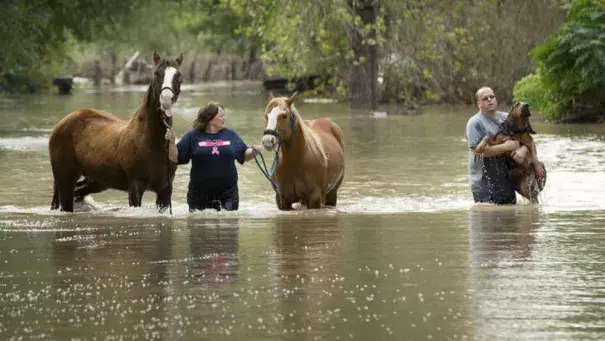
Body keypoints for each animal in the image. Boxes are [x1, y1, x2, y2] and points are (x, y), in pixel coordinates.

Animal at [48, 50, 182, 211]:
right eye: (156, 73)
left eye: (178, 75)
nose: (166, 100)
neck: (152, 141)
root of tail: (62, 123)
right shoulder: (135, 187)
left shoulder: (165, 190)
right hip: (65, 180)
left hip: (96, 181)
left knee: (79, 192)